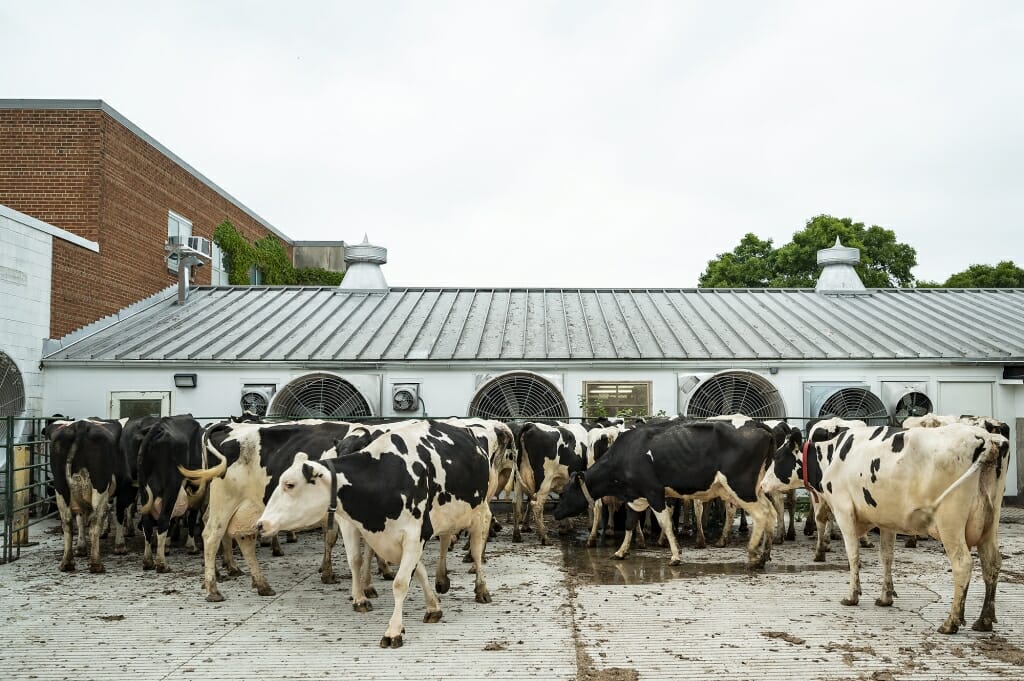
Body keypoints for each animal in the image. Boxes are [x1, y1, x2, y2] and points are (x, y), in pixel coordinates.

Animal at [44, 417, 128, 569]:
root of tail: (81, 425)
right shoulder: (125, 488)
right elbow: (119, 514)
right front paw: (120, 545)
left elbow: (80, 519)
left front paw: (81, 548)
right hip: (100, 486)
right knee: (95, 521)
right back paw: (96, 564)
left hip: (61, 487)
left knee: (67, 521)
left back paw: (67, 562)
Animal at [258, 419, 493, 647]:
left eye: (290, 484)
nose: (261, 524)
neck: (385, 477)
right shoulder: (370, 531)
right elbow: (381, 564)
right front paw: (431, 605)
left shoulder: (414, 535)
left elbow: (400, 582)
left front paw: (393, 631)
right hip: (448, 514)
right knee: (445, 538)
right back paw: (442, 580)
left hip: (479, 511)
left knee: (476, 548)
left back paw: (481, 589)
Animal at [552, 419, 774, 569]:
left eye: (565, 493)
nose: (555, 513)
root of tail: (759, 427)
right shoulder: (635, 496)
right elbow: (630, 524)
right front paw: (620, 552)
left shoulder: (654, 492)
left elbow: (665, 523)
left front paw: (675, 556)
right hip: (756, 488)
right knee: (771, 512)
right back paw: (764, 556)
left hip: (741, 487)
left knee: (761, 514)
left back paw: (753, 555)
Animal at [757, 419, 1011, 630]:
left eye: (777, 458)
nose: (761, 485)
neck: (832, 458)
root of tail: (988, 440)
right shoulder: (887, 520)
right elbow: (886, 557)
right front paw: (885, 597)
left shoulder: (844, 510)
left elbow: (853, 555)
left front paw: (852, 595)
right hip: (990, 524)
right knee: (992, 563)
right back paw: (984, 620)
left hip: (950, 522)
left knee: (963, 565)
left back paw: (951, 622)